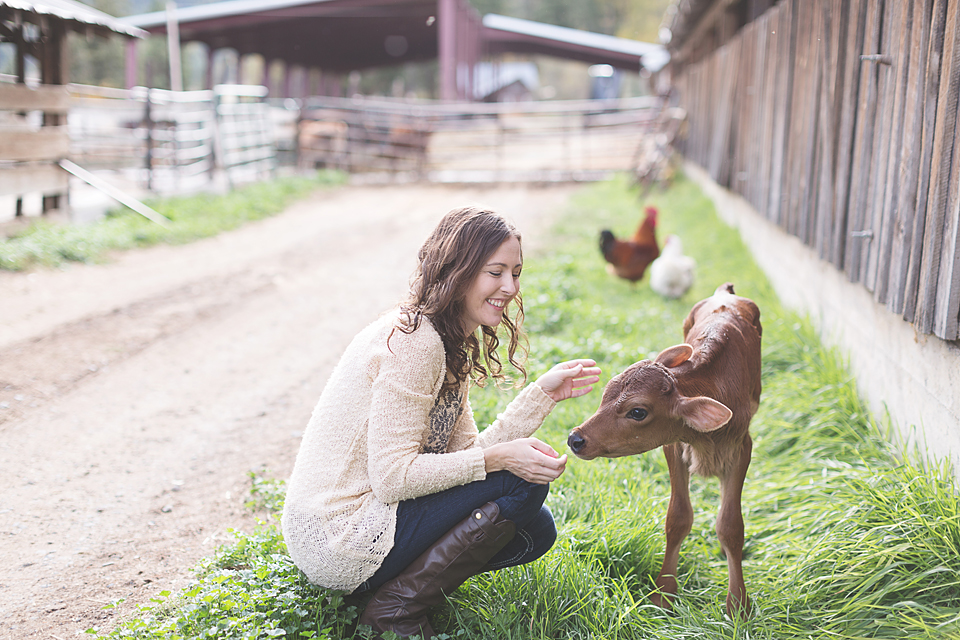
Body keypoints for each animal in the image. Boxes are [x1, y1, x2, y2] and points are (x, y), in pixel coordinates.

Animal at [568, 282, 760, 616]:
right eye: (605, 394)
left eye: (638, 412)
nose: (576, 438)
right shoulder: (673, 445)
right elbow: (678, 517)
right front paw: (663, 594)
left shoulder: (741, 448)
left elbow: (730, 526)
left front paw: (738, 604)